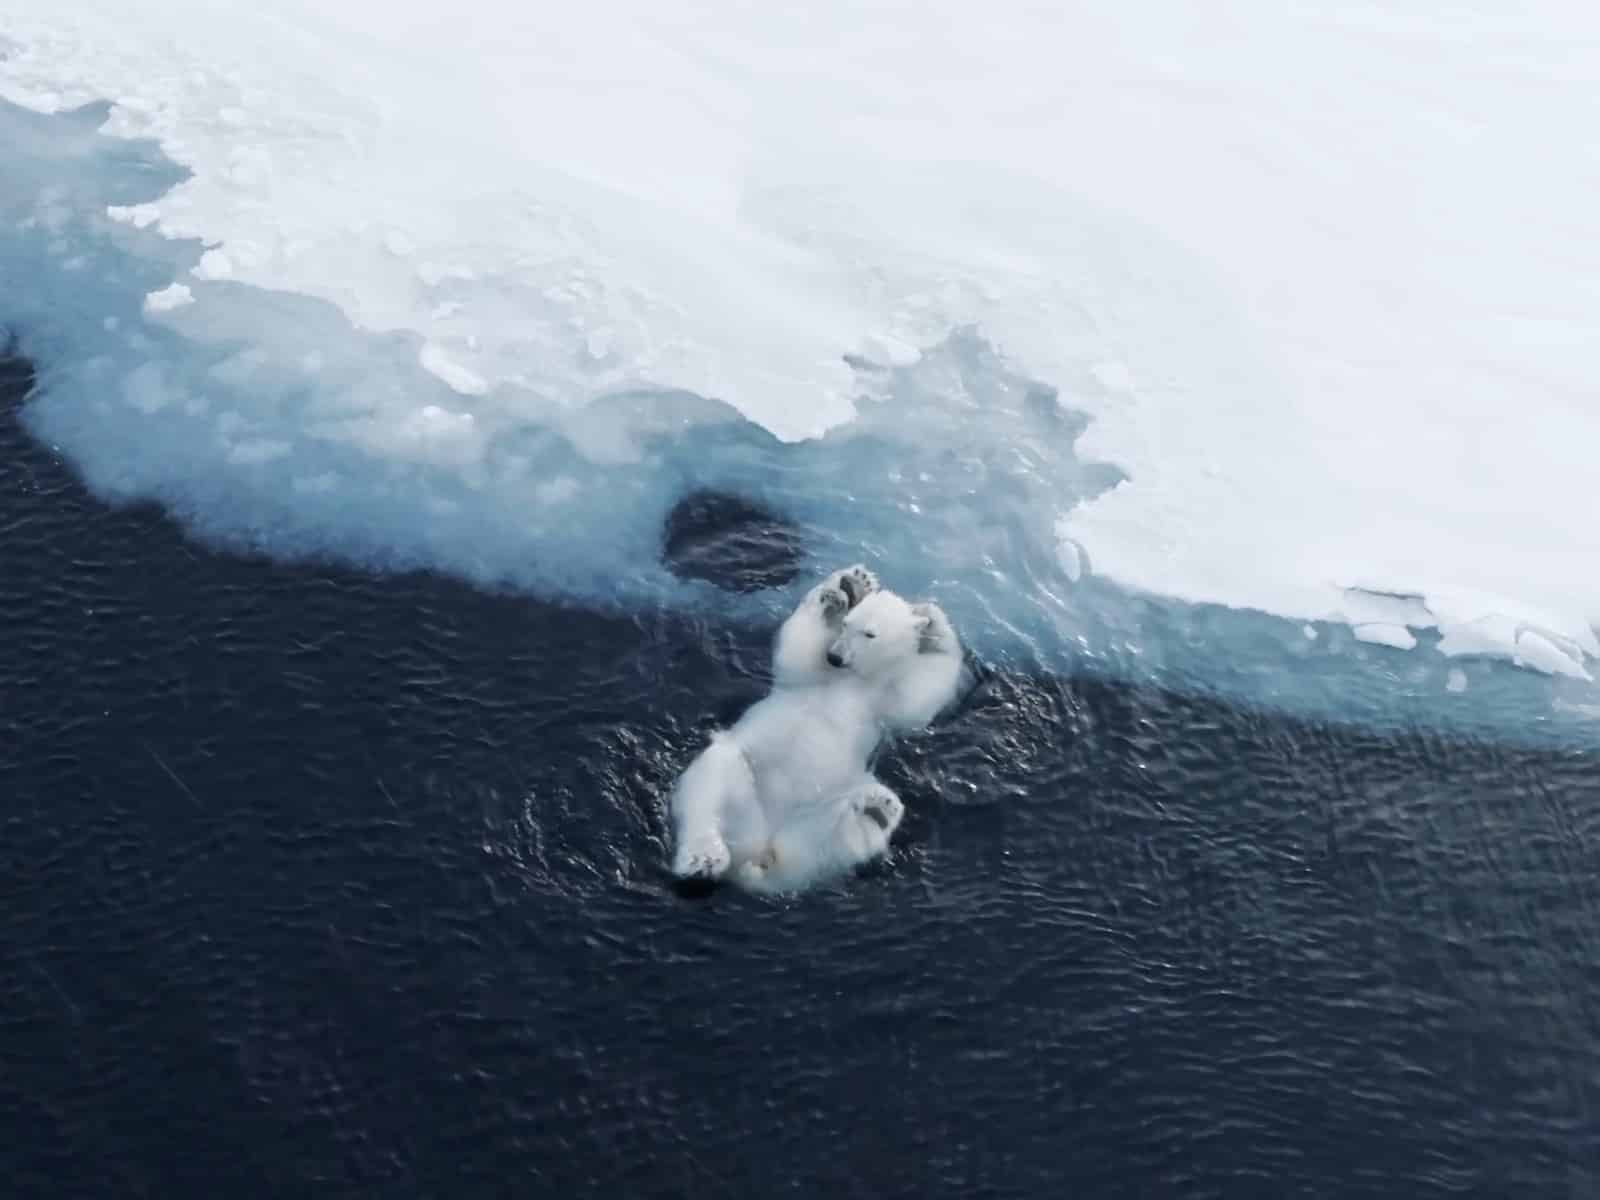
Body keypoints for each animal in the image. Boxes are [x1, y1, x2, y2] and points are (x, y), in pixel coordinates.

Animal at [669, 564, 965, 895]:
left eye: (870, 633)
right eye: (847, 624)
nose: (835, 657)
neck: (858, 678)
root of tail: (753, 852)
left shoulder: (886, 703)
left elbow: (919, 702)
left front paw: (934, 623)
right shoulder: (813, 674)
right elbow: (797, 648)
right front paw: (845, 587)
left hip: (816, 817)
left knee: (817, 853)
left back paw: (874, 813)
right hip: (743, 778)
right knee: (709, 789)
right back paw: (704, 857)